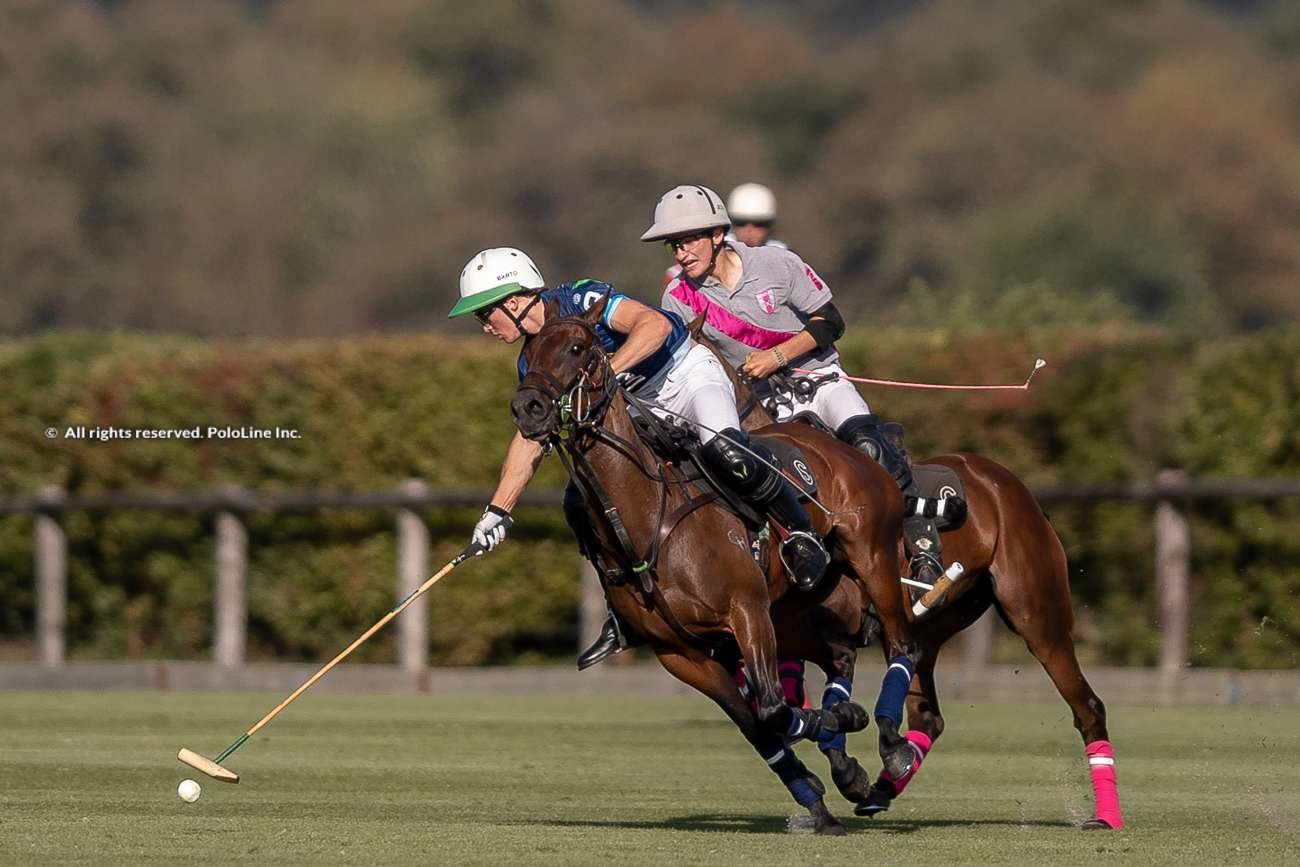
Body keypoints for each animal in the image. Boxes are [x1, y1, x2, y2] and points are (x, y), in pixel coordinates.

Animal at [512, 298, 920, 831]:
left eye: (578, 348)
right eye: (526, 357)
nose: (528, 408)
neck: (651, 516)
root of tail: (840, 445)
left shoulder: (745, 611)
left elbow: (773, 707)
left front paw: (844, 729)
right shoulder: (683, 654)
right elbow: (759, 723)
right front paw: (817, 792)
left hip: (874, 559)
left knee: (903, 644)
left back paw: (893, 745)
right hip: (800, 608)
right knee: (839, 656)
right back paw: (850, 767)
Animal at [722, 343, 1128, 831]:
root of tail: (1009, 484)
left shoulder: (830, 627)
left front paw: (847, 763)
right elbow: (788, 699)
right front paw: (848, 768)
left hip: (1036, 613)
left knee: (1087, 705)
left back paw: (1106, 816)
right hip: (932, 624)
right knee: (927, 713)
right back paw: (882, 785)